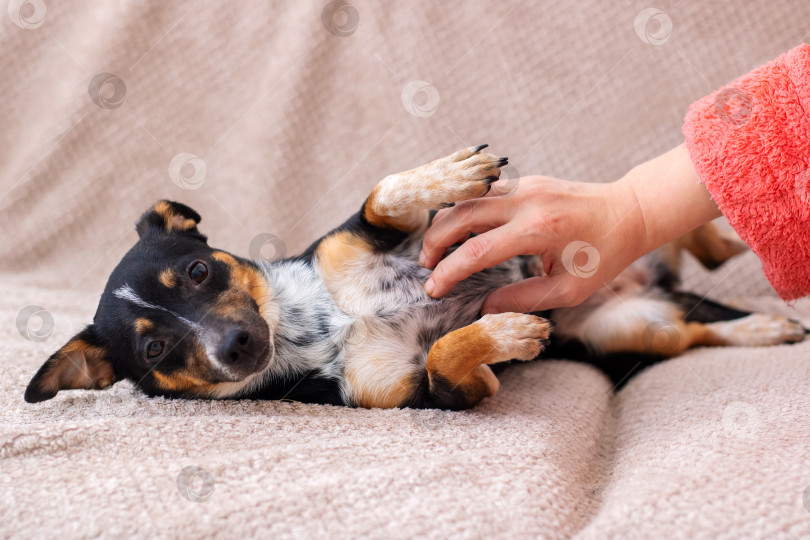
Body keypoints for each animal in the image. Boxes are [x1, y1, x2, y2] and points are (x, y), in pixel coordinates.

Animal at [25, 146, 808, 408]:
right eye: (154, 349)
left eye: (197, 269)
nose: (237, 344)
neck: (322, 329)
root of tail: (640, 285)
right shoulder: (431, 398)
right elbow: (444, 354)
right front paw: (505, 330)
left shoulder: (367, 237)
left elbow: (383, 197)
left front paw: (449, 176)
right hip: (633, 326)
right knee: (699, 326)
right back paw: (766, 324)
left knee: (689, 243)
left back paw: (730, 227)